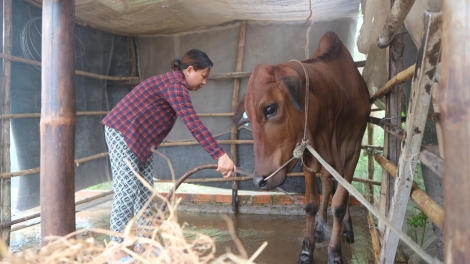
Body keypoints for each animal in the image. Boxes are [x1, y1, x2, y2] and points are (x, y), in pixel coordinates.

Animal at [233, 31, 370, 264]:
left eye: (270, 109)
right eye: (247, 117)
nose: (259, 181)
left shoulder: (353, 150)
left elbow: (340, 203)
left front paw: (335, 253)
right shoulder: (307, 153)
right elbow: (312, 203)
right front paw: (307, 249)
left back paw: (346, 230)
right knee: (326, 185)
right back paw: (320, 228)